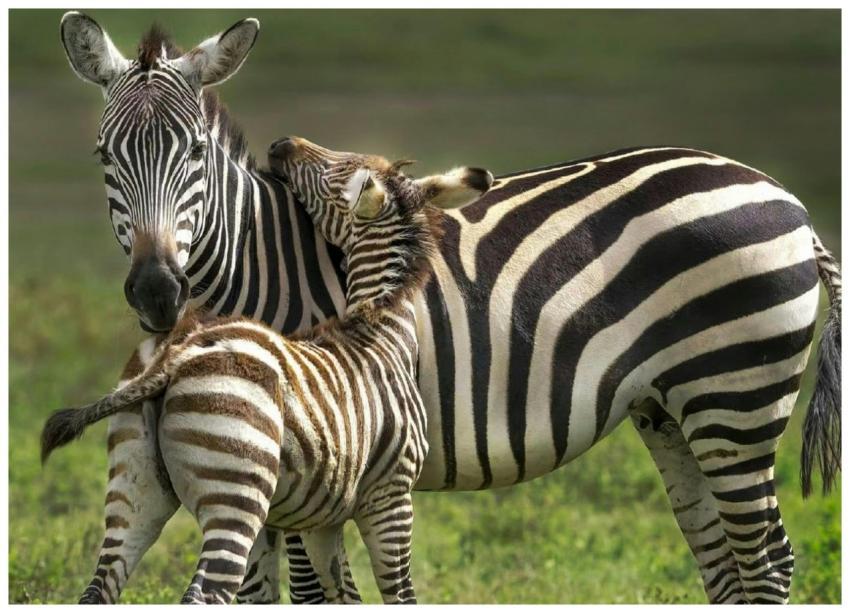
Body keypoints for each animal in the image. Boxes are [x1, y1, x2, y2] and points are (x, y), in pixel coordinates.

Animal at [41, 144, 495, 603]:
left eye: (332, 171)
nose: (281, 147)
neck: (381, 331)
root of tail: (176, 355)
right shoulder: (392, 496)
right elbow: (399, 594)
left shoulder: (323, 520)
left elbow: (343, 594)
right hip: (237, 494)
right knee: (206, 592)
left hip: (134, 490)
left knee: (99, 586)